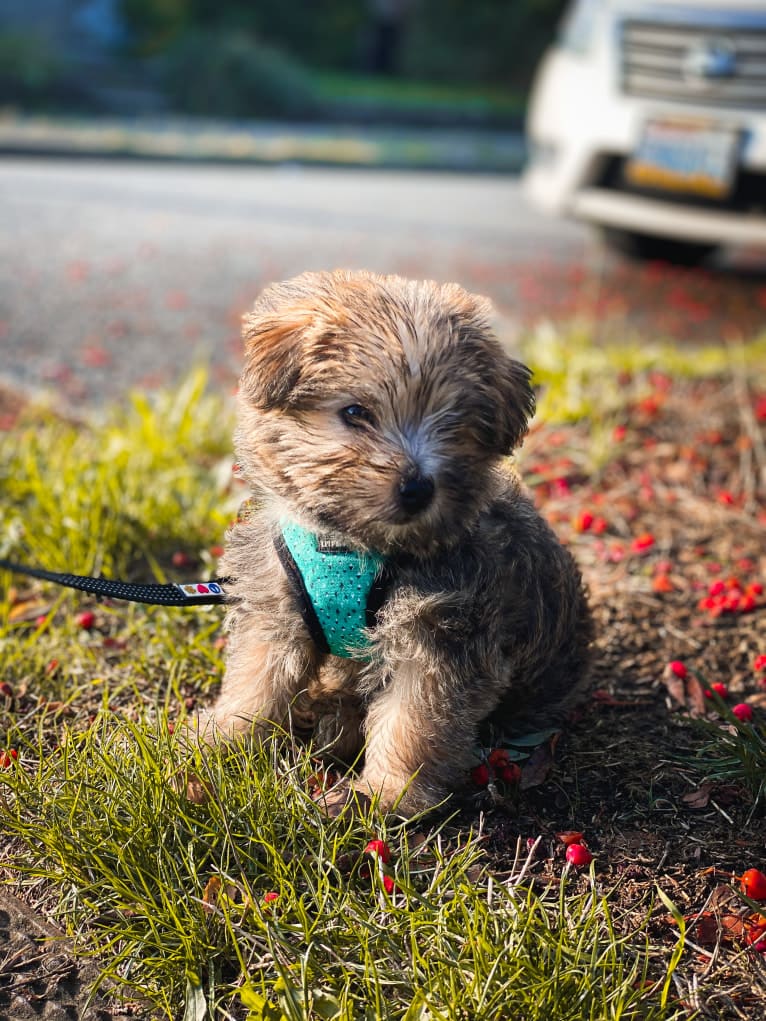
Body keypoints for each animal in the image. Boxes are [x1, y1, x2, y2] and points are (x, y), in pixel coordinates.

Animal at [201, 269, 592, 812]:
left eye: (454, 426)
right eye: (355, 412)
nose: (417, 487)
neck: (352, 547)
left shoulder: (439, 639)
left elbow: (413, 722)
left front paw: (385, 793)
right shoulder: (275, 605)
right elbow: (255, 678)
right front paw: (224, 738)